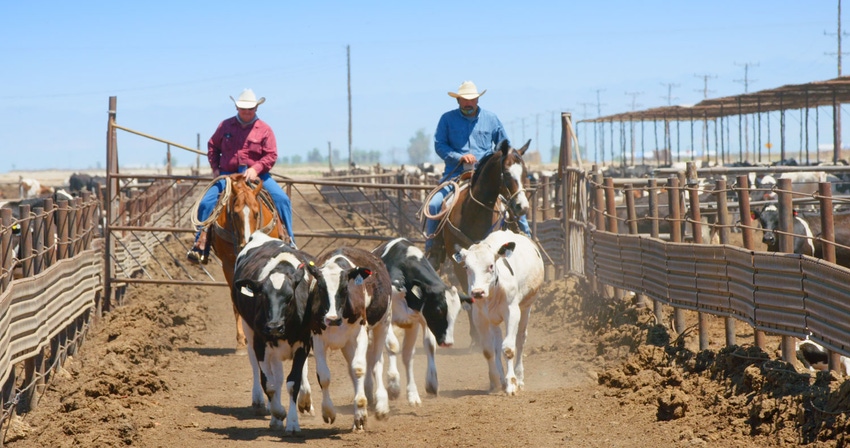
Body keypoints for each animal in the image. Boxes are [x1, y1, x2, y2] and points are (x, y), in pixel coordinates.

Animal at [230, 231, 322, 434]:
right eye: (263, 296)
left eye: (289, 297)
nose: (274, 327)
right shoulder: (261, 343)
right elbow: (270, 384)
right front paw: (278, 412)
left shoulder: (303, 343)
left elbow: (293, 382)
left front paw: (293, 423)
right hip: (250, 331)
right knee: (260, 368)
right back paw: (263, 405)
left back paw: (304, 400)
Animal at [310, 247, 392, 432]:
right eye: (320, 287)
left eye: (344, 288)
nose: (332, 319)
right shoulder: (316, 336)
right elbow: (323, 375)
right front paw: (328, 411)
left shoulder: (360, 332)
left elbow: (359, 369)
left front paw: (361, 413)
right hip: (347, 345)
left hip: (383, 323)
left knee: (376, 363)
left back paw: (381, 406)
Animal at [372, 238, 470, 406]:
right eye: (438, 310)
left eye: (457, 312)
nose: (448, 342)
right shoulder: (387, 319)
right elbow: (392, 346)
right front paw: (393, 384)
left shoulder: (417, 321)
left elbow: (417, 351)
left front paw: (424, 388)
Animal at [450, 231, 544, 396]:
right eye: (467, 267)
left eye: (491, 266)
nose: (478, 292)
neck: (493, 292)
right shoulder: (479, 317)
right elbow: (489, 350)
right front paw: (495, 382)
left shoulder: (512, 312)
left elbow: (508, 348)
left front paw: (512, 383)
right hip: (493, 320)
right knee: (497, 342)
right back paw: (501, 378)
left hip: (526, 307)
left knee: (520, 339)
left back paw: (519, 379)